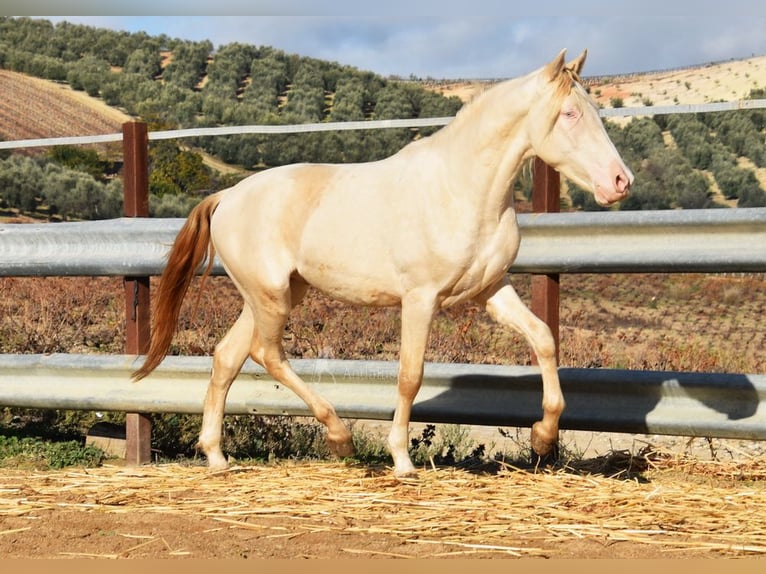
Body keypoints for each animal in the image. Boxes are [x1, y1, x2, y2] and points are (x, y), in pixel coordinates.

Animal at [134, 49, 636, 480]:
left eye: (595, 111)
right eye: (570, 114)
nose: (621, 181)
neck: (461, 190)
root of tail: (226, 197)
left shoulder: (491, 290)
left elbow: (544, 339)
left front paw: (543, 438)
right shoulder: (420, 299)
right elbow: (410, 375)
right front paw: (402, 460)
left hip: (274, 294)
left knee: (227, 357)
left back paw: (218, 457)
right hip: (270, 295)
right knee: (266, 354)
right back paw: (339, 437)